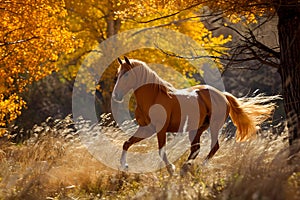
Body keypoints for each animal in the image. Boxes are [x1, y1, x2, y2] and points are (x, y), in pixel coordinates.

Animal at [112, 55, 276, 175]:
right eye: (117, 75)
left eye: (126, 75)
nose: (116, 96)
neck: (154, 97)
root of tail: (222, 95)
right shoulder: (147, 128)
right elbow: (127, 143)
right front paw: (124, 166)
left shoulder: (161, 129)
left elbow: (161, 151)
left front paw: (171, 169)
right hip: (197, 129)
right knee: (195, 149)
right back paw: (186, 168)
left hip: (214, 126)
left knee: (214, 147)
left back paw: (199, 167)